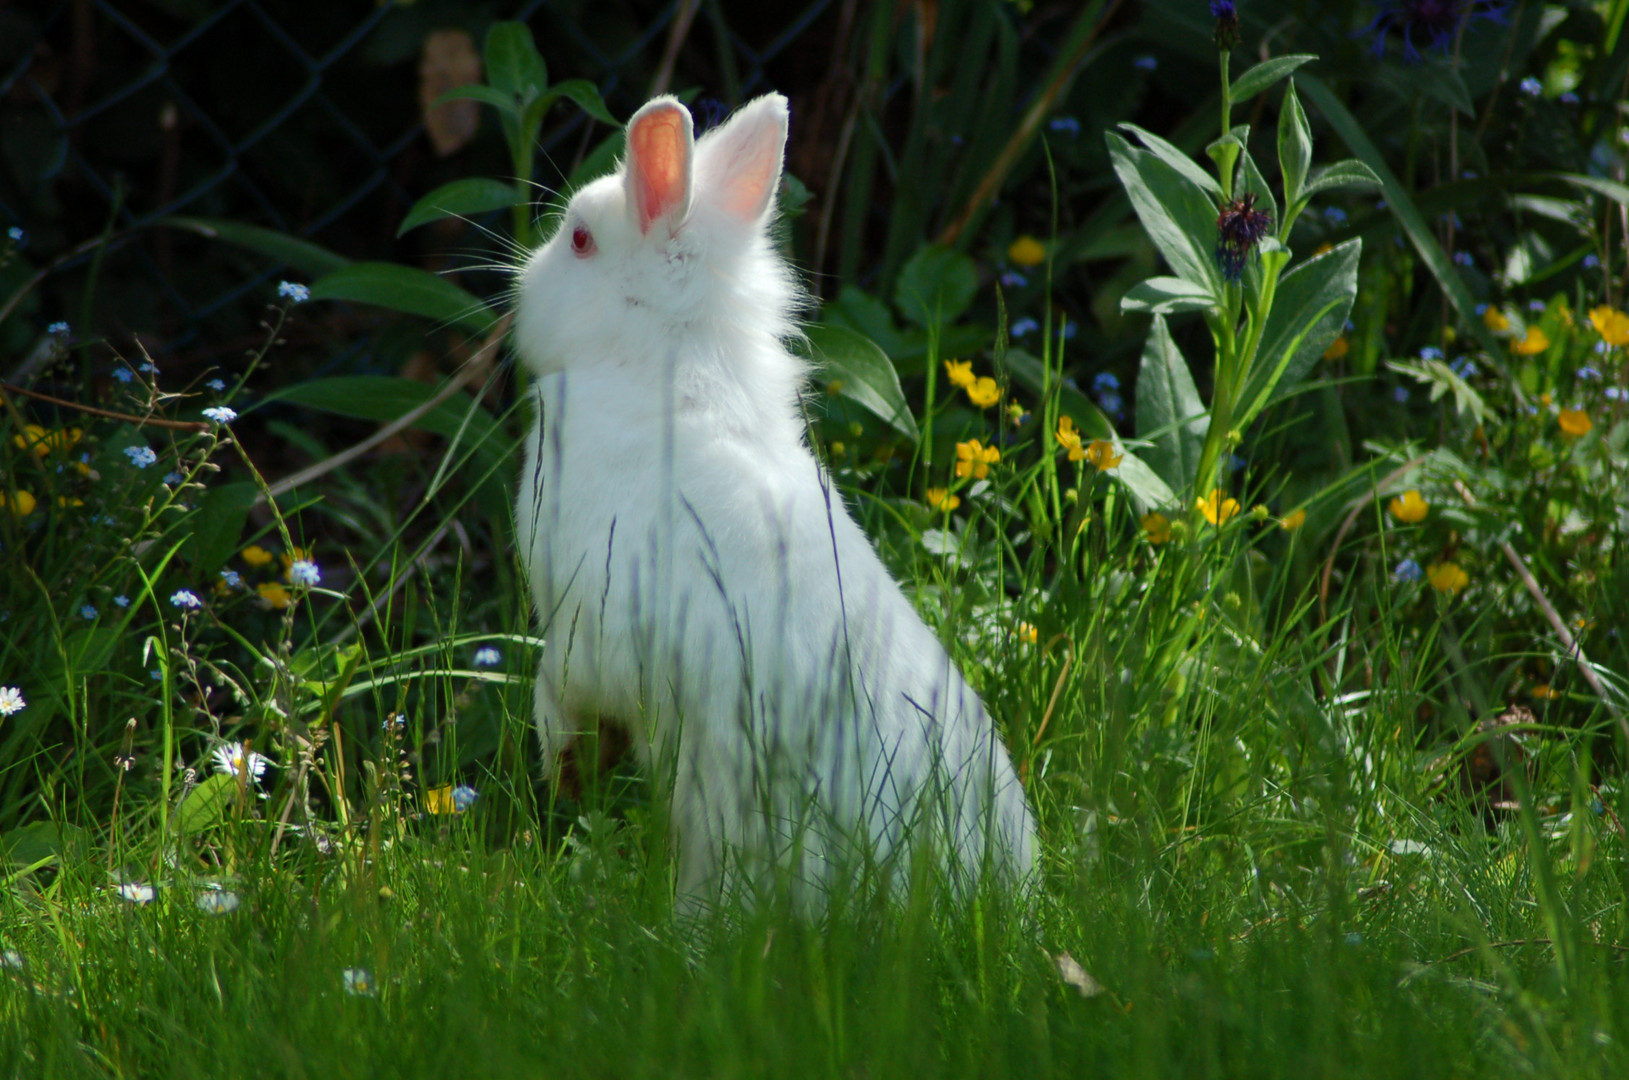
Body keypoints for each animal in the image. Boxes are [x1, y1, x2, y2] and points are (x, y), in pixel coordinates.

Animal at [514, 92, 1036, 905]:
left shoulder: (584, 629)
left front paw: (562, 776)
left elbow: (564, 699)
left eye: (578, 241)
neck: (671, 373)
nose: (521, 288)